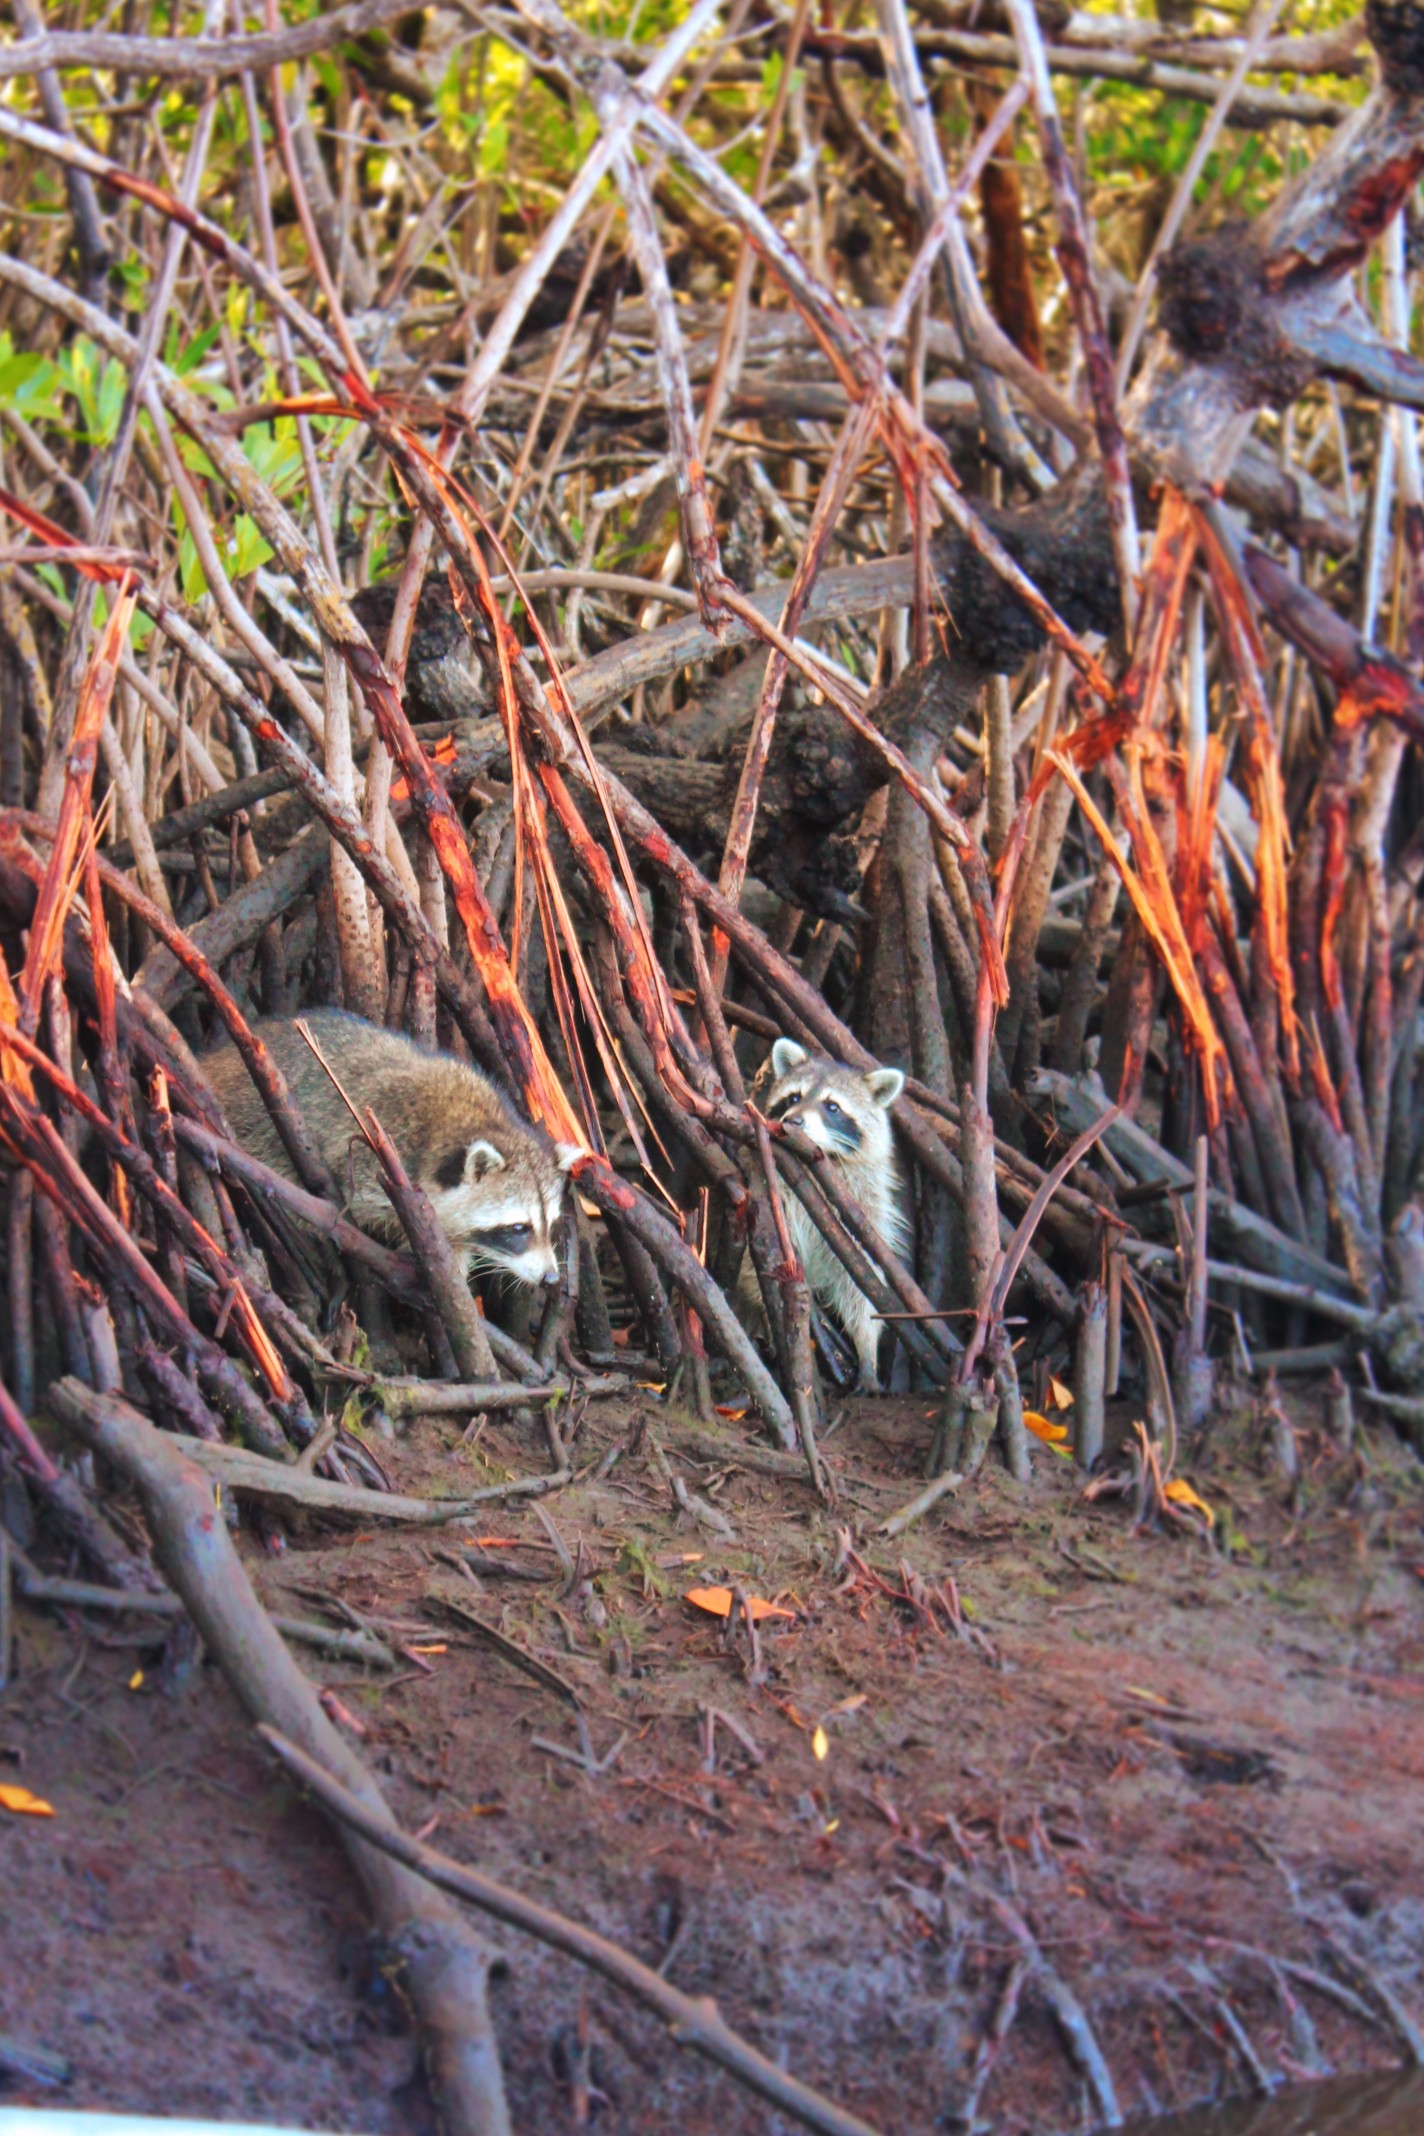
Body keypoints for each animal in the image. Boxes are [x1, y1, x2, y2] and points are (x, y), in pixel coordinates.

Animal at [764, 1038, 909, 1401]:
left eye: (832, 1107)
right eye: (794, 1098)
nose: (793, 1121)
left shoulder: (864, 1209)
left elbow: (860, 1280)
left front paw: (866, 1348)